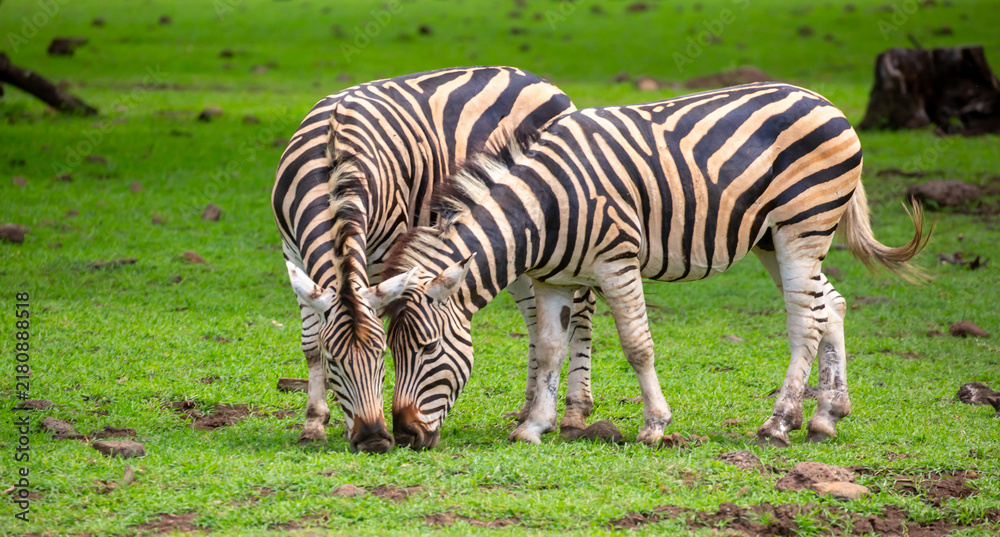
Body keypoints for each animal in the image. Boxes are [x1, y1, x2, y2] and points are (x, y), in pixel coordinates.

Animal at [271, 66, 596, 453]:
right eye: (334, 361)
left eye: (381, 358)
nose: (374, 440)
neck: (331, 165)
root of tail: (537, 79)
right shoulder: (292, 251)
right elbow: (310, 344)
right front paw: (314, 423)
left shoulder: (386, 252)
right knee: (535, 321)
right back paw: (528, 409)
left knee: (580, 316)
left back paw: (575, 414)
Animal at [380, 82, 929, 449]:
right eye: (391, 351)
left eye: (427, 349)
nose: (404, 435)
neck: (543, 209)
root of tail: (824, 100)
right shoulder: (552, 279)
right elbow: (550, 349)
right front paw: (533, 426)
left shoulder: (617, 263)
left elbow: (637, 345)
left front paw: (654, 425)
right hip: (772, 238)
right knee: (829, 305)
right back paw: (825, 416)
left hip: (802, 227)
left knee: (805, 322)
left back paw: (779, 423)